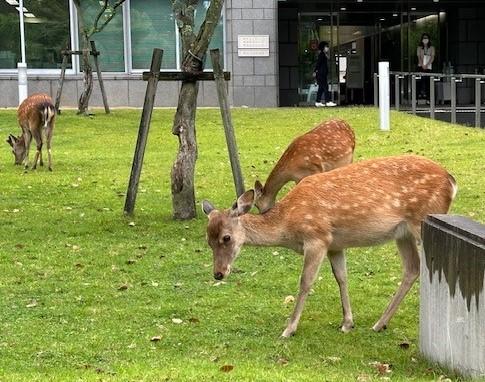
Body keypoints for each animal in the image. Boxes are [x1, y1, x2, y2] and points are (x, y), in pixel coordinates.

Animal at [201, 154, 458, 338]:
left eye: (226, 238)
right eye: (208, 240)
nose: (218, 273)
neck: (288, 225)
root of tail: (452, 181)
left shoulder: (317, 237)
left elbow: (305, 281)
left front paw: (288, 329)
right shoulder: (335, 244)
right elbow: (341, 277)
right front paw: (347, 323)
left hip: (421, 221)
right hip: (402, 233)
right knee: (412, 268)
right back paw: (379, 323)